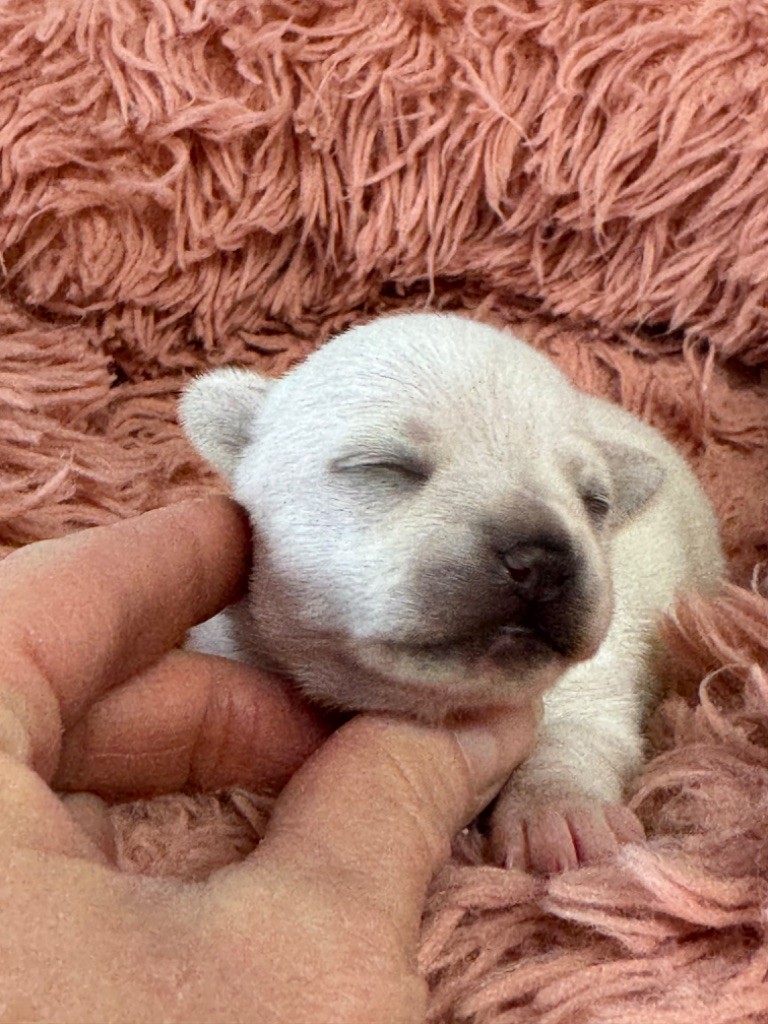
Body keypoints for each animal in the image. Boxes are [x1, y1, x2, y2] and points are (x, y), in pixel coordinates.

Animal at [181, 313, 723, 873]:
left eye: (595, 502)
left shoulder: (595, 679)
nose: (543, 562)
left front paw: (563, 814)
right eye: (384, 466)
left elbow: (575, 734)